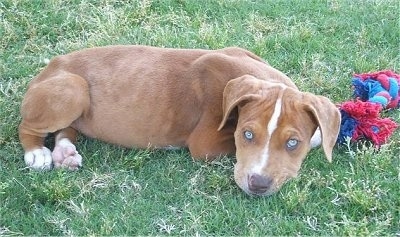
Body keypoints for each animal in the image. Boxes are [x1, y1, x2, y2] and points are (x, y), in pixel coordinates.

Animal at [19, 45, 340, 196]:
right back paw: (37, 153)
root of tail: (51, 65)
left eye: (292, 143)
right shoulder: (205, 145)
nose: (258, 183)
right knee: (27, 126)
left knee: (67, 129)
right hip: (72, 88)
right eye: (247, 135)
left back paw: (65, 152)